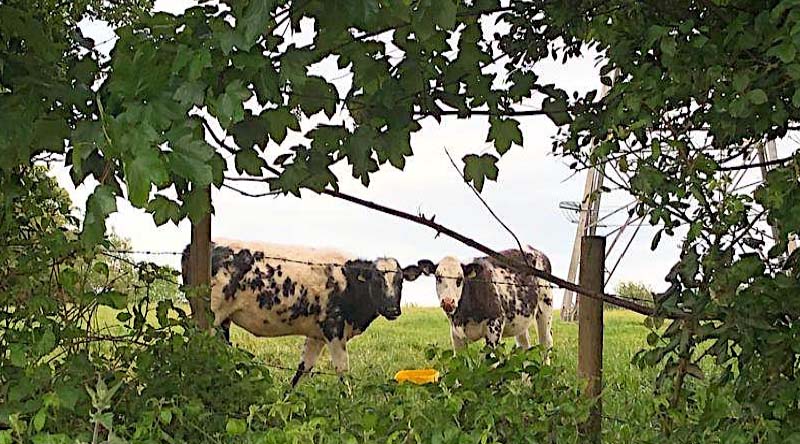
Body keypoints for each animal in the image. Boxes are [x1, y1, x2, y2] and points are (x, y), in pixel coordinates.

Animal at [180, 238, 424, 386]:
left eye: (401, 281)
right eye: (376, 280)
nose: (392, 309)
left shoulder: (317, 335)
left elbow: (302, 371)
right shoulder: (334, 329)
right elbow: (343, 371)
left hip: (223, 321)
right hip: (211, 315)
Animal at [416, 246, 552, 360]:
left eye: (460, 279)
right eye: (438, 277)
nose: (448, 302)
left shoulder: (495, 325)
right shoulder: (456, 335)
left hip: (545, 307)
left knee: (546, 344)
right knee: (524, 347)